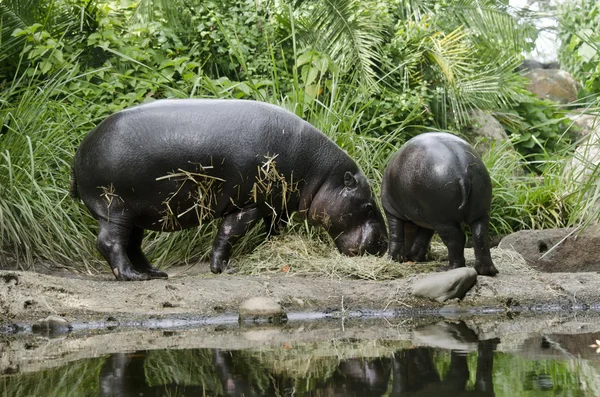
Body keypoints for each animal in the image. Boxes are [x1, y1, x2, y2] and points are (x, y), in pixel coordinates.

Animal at [71, 98, 390, 280]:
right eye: (368, 205)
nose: (385, 245)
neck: (322, 174)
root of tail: (79, 151)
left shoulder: (277, 204)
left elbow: (275, 229)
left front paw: (268, 249)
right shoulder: (250, 203)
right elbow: (229, 232)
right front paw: (223, 269)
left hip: (136, 211)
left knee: (133, 244)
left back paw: (154, 273)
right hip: (114, 208)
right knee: (111, 242)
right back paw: (132, 277)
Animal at [382, 132, 500, 276]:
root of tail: (463, 172)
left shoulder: (392, 211)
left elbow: (396, 234)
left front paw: (393, 258)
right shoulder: (426, 220)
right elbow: (423, 238)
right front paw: (414, 257)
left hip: (443, 220)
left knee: (457, 239)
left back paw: (448, 268)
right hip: (480, 211)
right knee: (480, 236)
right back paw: (486, 270)